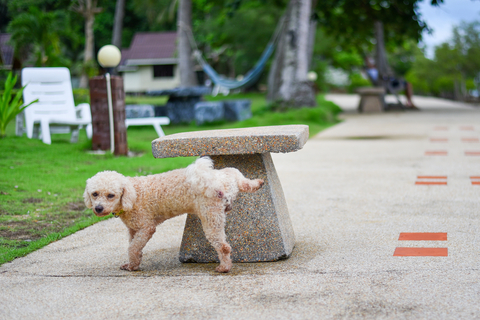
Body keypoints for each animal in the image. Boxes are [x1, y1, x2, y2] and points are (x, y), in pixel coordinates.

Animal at [82, 157, 262, 272]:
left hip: (211, 218)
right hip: (230, 177)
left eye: (111, 195)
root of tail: (217, 180)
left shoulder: (146, 228)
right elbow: (134, 247)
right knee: (238, 175)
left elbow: (132, 247)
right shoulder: (134, 230)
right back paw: (256, 183)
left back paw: (224, 267)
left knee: (224, 247)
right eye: (94, 194)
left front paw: (133, 267)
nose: (98, 208)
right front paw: (133, 264)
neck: (132, 194)